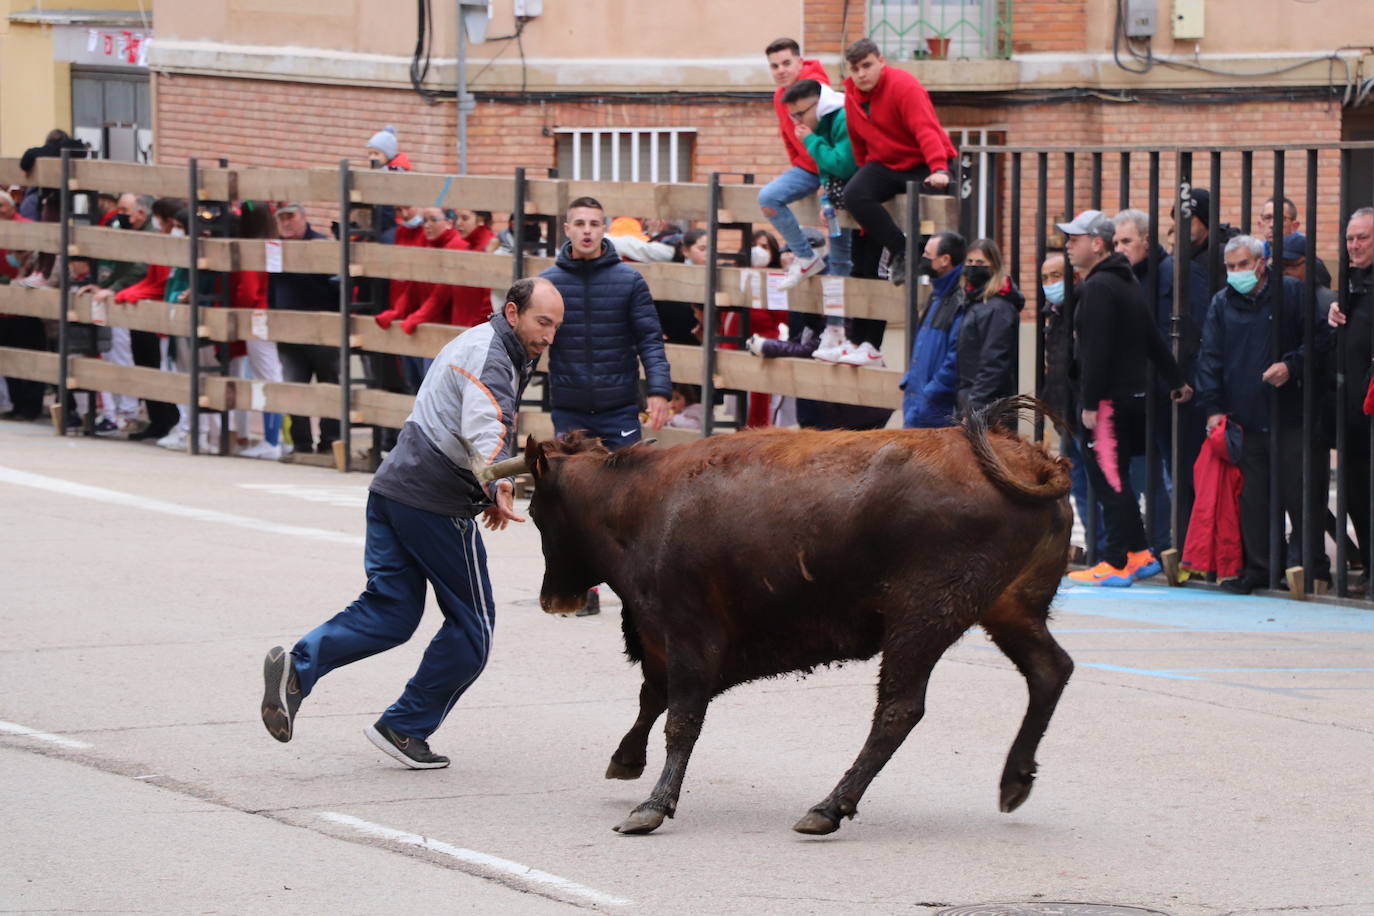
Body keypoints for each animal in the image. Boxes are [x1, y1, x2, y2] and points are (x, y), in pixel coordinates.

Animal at [516, 395, 1071, 840]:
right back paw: (1014, 780)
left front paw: (651, 807)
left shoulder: (689, 634)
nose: (554, 599)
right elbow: (653, 698)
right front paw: (625, 761)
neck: (640, 501)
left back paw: (827, 808)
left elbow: (680, 718)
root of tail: (1032, 460)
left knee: (898, 710)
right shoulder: (660, 637)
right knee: (1050, 669)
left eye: (538, 513)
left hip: (921, 620)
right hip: (1009, 609)